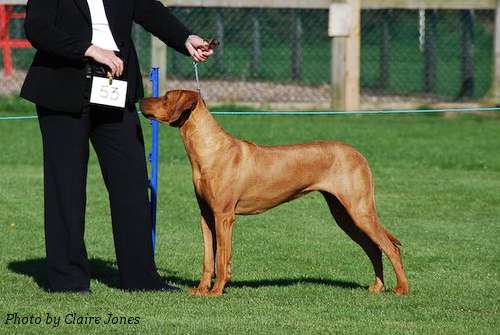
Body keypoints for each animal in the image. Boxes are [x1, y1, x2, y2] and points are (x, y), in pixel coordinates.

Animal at [141, 90, 410, 298]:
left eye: (166, 97)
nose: (141, 100)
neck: (209, 150)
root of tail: (359, 154)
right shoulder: (207, 216)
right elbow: (208, 258)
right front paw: (201, 289)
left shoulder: (224, 216)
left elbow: (221, 258)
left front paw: (217, 291)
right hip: (344, 214)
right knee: (374, 248)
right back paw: (377, 287)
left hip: (359, 210)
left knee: (391, 249)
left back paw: (402, 289)